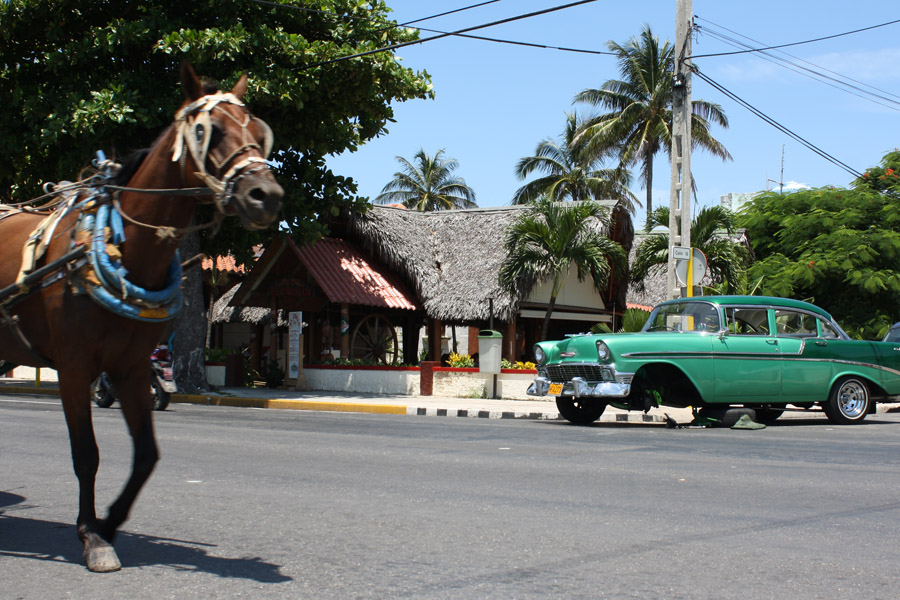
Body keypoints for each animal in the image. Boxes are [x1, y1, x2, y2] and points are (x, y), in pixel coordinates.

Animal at [0, 64, 282, 572]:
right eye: (209, 132)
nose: (265, 195)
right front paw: (92, 537)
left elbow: (147, 455)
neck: (125, 249)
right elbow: (86, 455)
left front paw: (110, 522)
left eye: (257, 132)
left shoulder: (130, 367)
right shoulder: (74, 368)